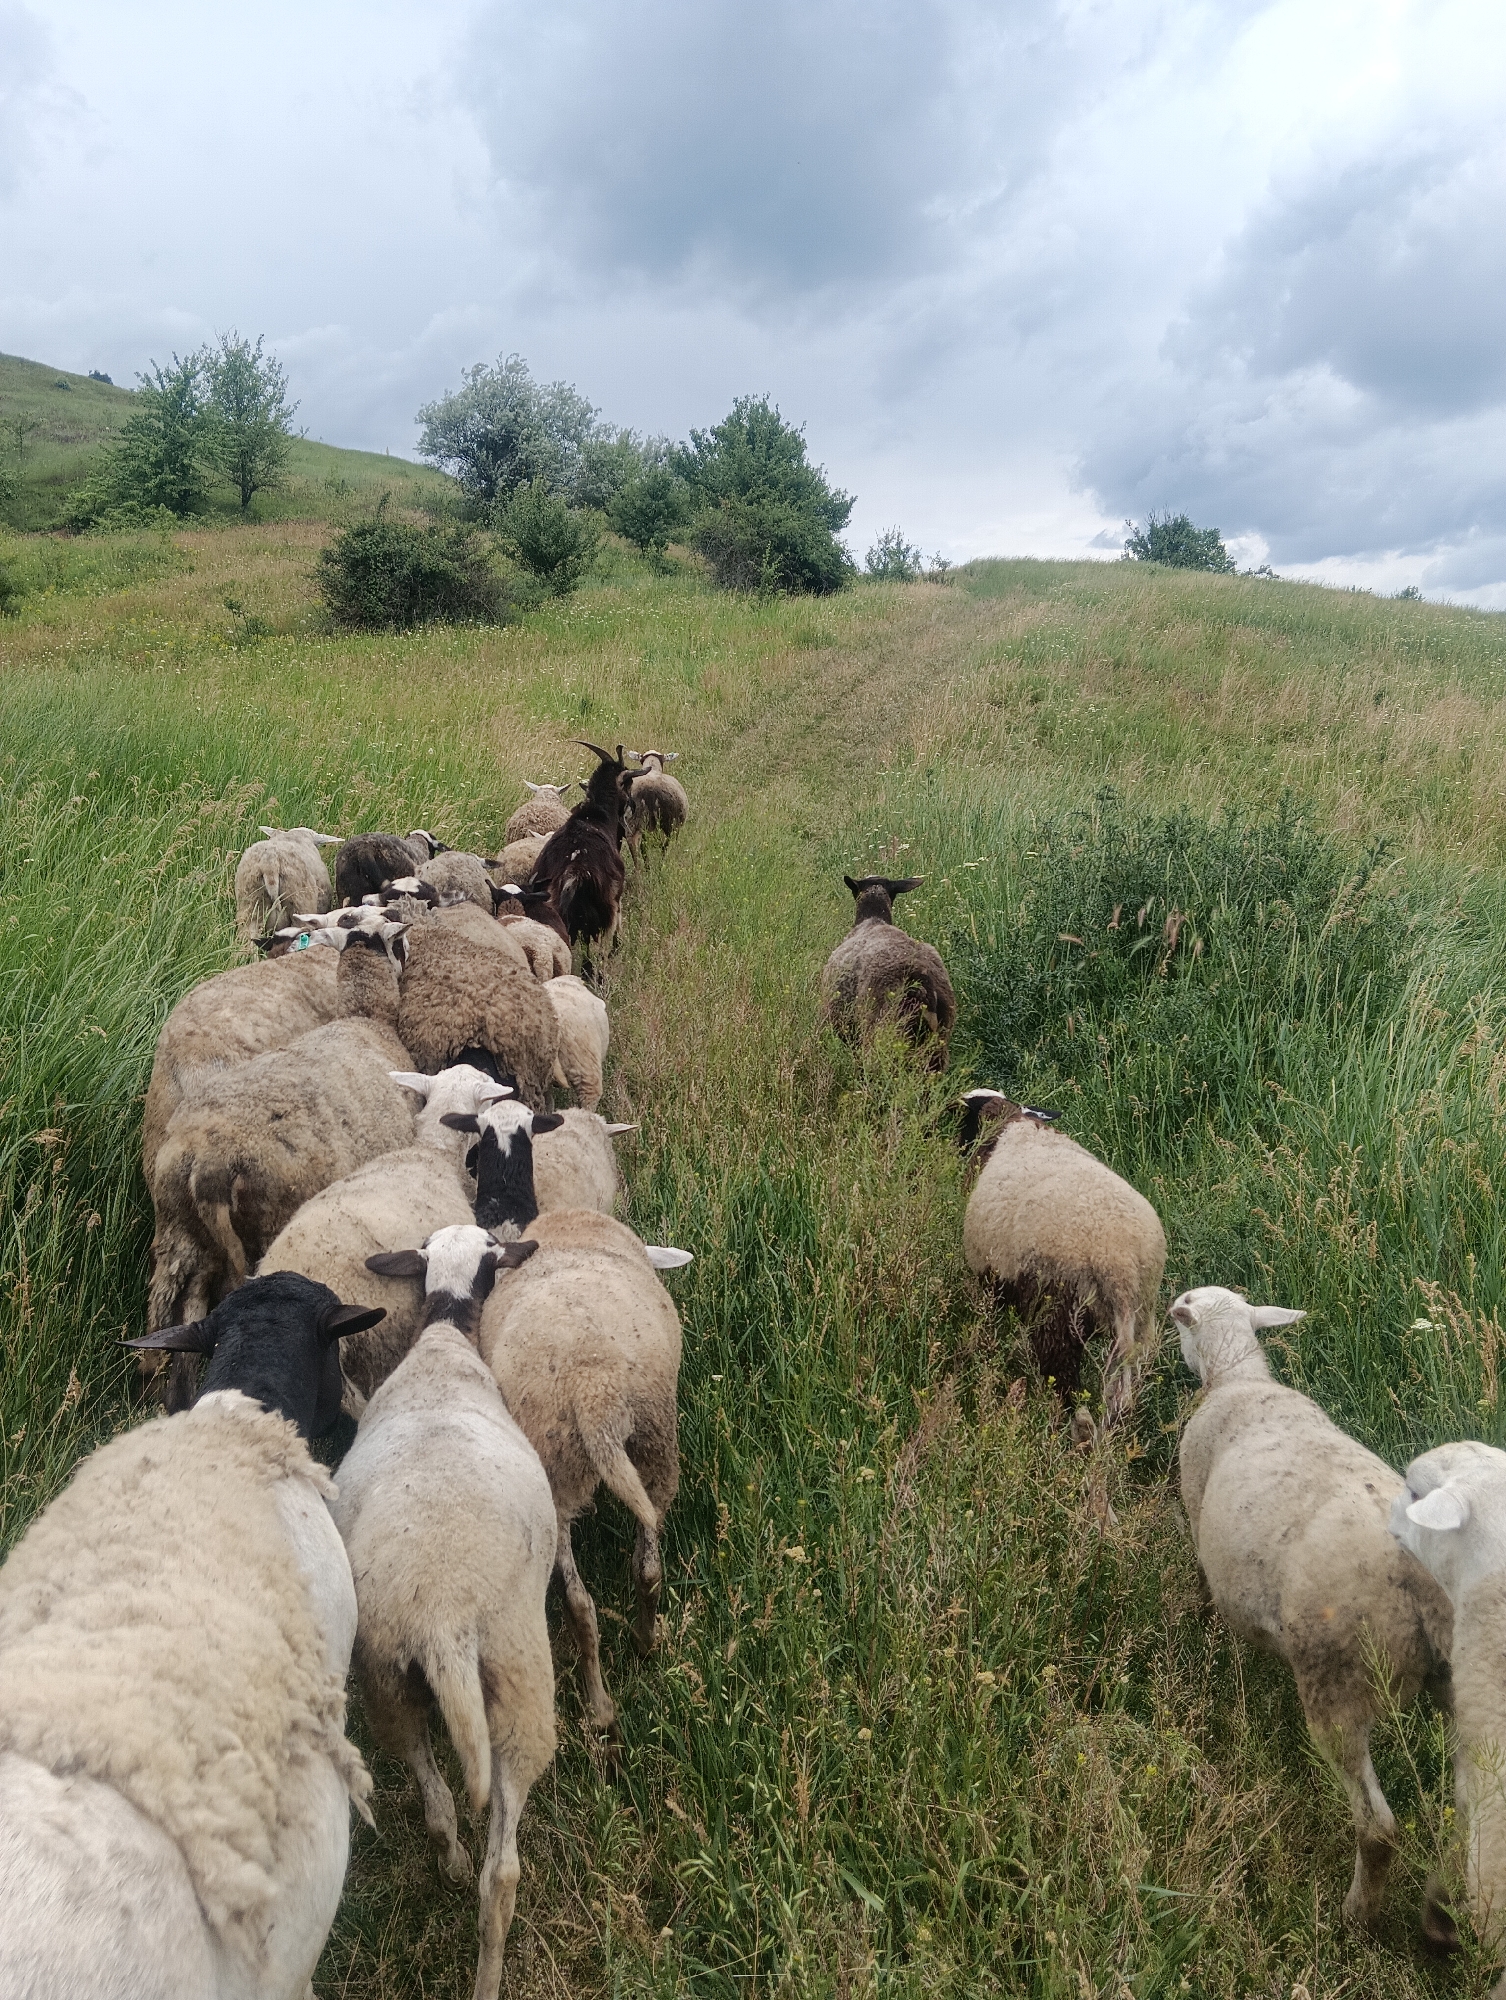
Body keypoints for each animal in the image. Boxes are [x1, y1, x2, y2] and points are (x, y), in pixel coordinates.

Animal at [334, 1227, 555, 1997]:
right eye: (494, 1252)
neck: (445, 1338)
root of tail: (443, 1616)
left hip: (384, 1677)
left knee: (434, 1807)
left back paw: (450, 1864)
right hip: (521, 1682)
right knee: (504, 1875)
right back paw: (486, 1970)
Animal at [479, 1206, 692, 1734]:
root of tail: (593, 1389)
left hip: (574, 1471)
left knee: (594, 1597)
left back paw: (607, 1693)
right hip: (646, 1449)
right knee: (638, 1574)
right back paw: (635, 1655)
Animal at [961, 1091, 1165, 1422]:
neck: (1013, 1124)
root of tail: (1117, 1261)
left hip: (1056, 1311)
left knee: (1064, 1382)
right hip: (1142, 1316)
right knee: (1124, 1388)